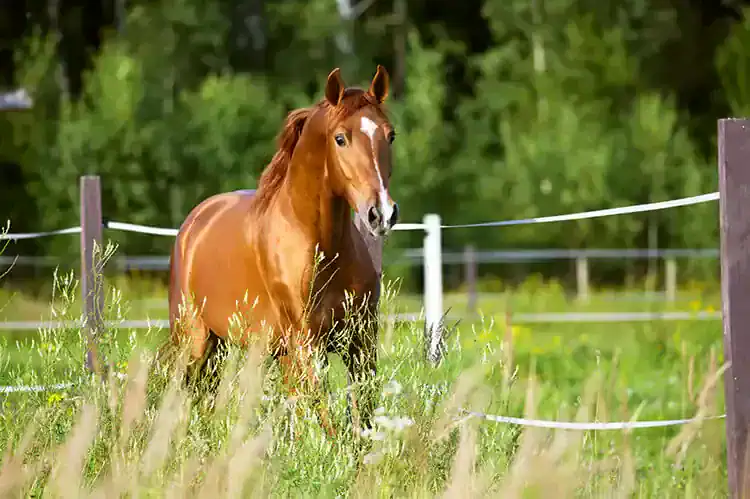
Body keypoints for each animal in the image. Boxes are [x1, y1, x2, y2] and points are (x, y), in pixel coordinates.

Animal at [166, 65, 399, 436]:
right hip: (195, 342)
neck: (322, 246)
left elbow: (362, 417)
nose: (381, 213)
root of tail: (194, 223)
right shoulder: (307, 345)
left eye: (390, 136)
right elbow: (327, 422)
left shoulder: (361, 341)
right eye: (340, 138)